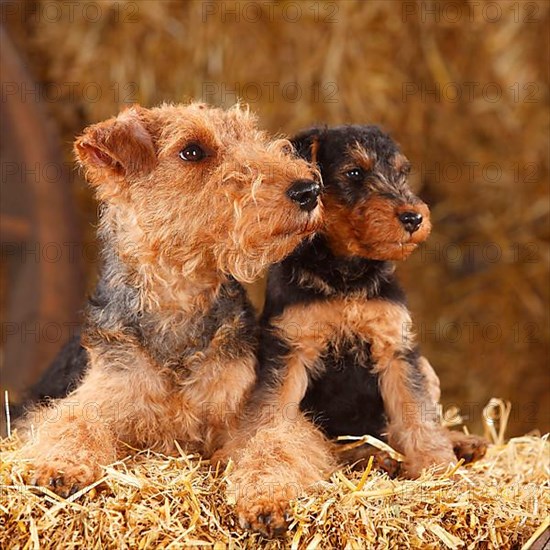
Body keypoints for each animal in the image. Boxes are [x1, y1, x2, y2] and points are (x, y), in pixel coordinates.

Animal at [226, 125, 490, 540]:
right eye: (353, 173)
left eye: (402, 172)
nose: (413, 217)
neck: (346, 274)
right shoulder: (291, 351)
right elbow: (271, 427)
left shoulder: (396, 348)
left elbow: (419, 419)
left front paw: (440, 471)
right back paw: (376, 456)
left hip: (425, 367)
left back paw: (462, 444)